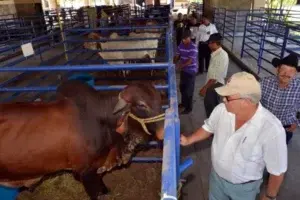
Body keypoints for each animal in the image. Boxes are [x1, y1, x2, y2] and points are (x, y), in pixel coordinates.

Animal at [0, 80, 165, 200]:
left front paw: (106, 191)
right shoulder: (85, 172)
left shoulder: (99, 164)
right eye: (141, 105)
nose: (163, 132)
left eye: (160, 99)